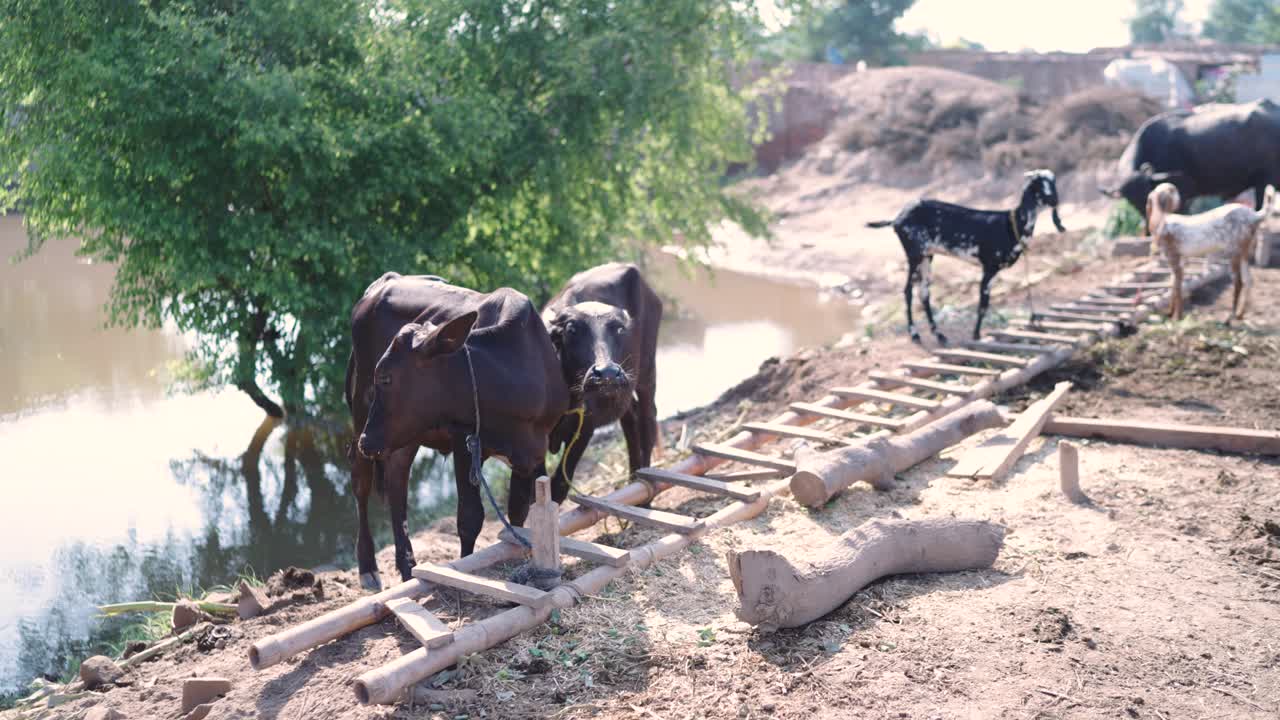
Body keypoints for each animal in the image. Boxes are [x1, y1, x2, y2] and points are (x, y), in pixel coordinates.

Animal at [867, 170, 1066, 344]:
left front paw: (975, 334)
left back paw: (939, 335)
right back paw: (915, 334)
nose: (1054, 200)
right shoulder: (989, 267)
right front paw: (976, 335)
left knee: (924, 292)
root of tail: (896, 219)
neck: (1012, 225)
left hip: (927, 256)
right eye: (1038, 184)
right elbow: (983, 304)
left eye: (1054, 182)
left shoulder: (991, 270)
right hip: (914, 254)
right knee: (908, 291)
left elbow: (984, 303)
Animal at [1150, 184, 1275, 322]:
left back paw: (1229, 318)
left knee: (1239, 282)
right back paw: (1240, 314)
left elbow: (1177, 287)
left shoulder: (1173, 256)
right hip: (1244, 252)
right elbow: (1173, 284)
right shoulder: (1180, 259)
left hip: (1234, 251)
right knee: (1249, 280)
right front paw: (1171, 313)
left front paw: (1177, 317)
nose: (1180, 201)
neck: (1162, 222)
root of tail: (1254, 216)